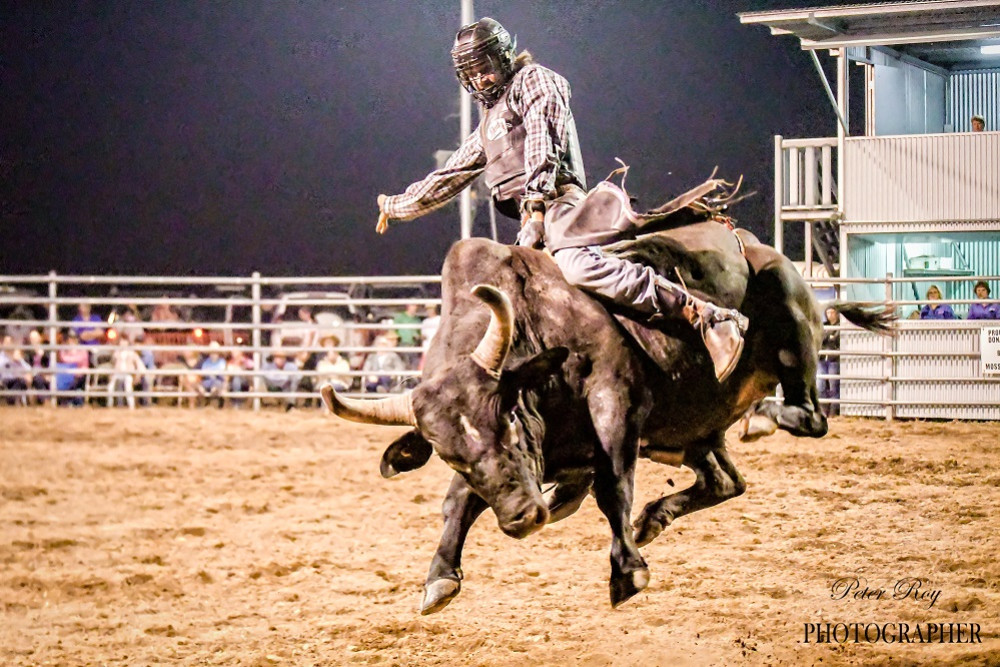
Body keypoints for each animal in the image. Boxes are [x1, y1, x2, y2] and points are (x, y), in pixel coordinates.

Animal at [320, 202, 892, 616]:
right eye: (447, 453)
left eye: (507, 418)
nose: (523, 518)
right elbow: (459, 501)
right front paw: (440, 577)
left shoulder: (616, 404)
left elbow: (612, 487)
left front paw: (627, 571)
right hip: (690, 430)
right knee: (726, 481)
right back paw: (655, 516)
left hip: (789, 318)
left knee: (809, 415)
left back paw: (762, 417)